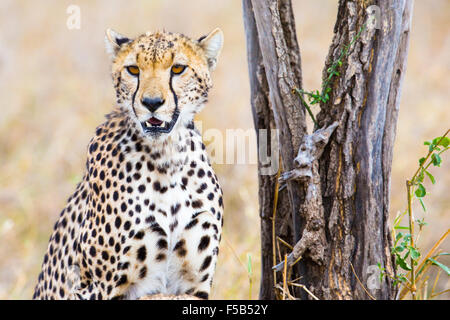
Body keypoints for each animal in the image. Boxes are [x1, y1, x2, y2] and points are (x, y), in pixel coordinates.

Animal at [32, 27, 225, 300]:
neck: (167, 157)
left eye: (178, 69)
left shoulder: (193, 286)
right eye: (133, 70)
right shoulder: (96, 287)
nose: (152, 103)